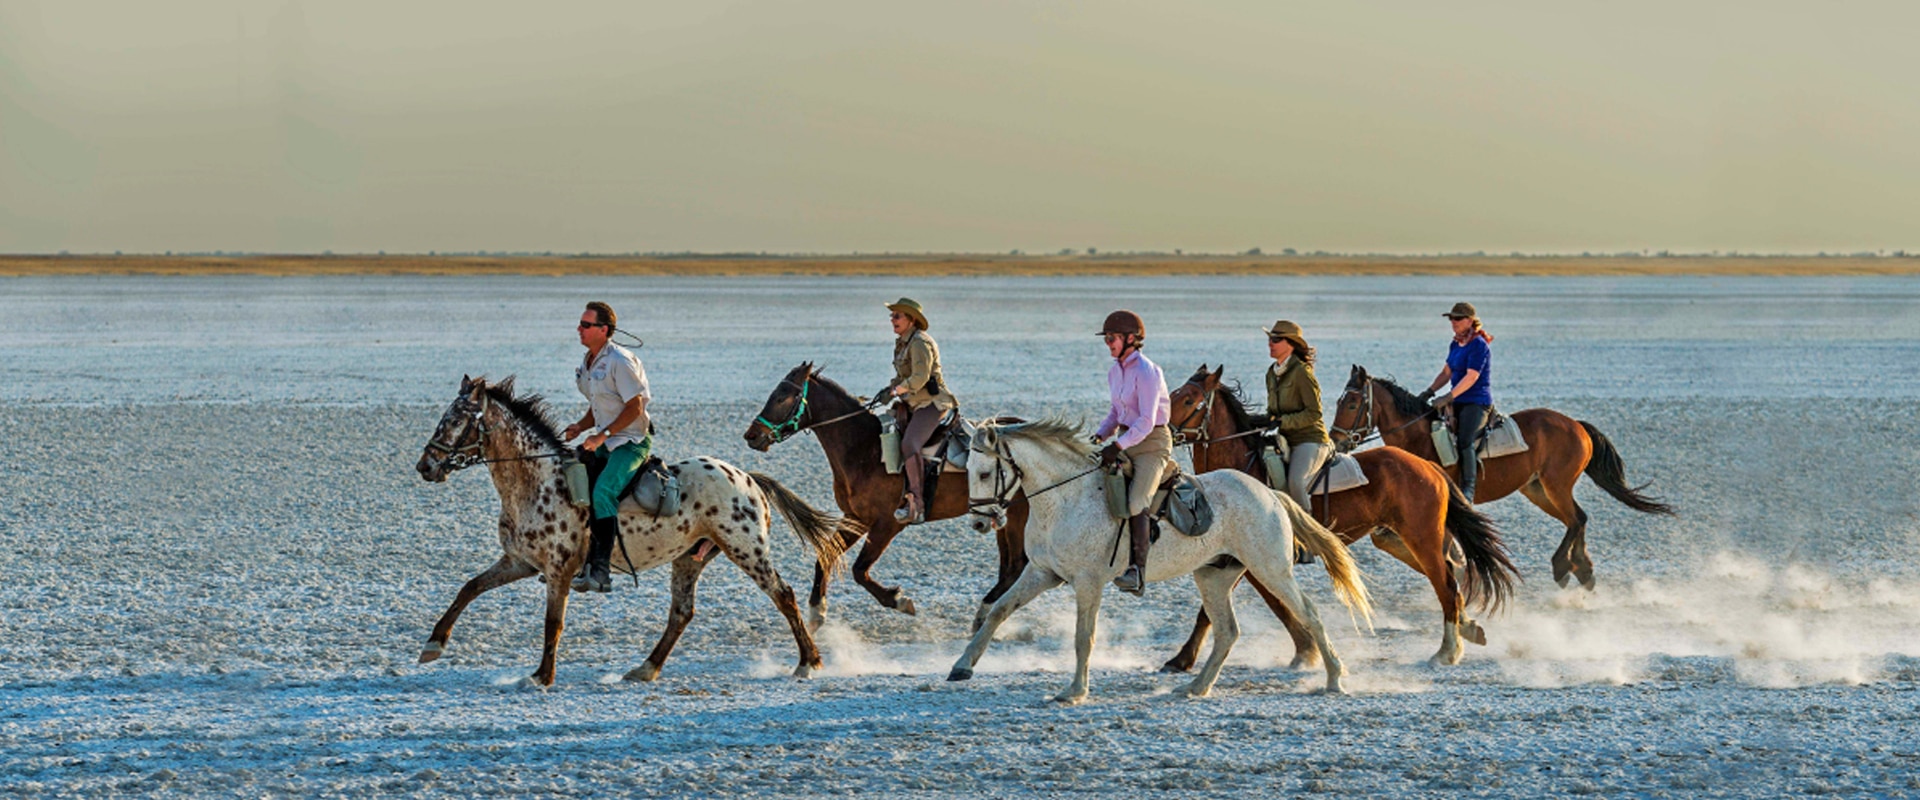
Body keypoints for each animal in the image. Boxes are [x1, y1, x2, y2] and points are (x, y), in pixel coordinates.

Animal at [416, 376, 860, 686]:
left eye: (455, 421)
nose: (425, 465)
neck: (536, 481)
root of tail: (747, 478)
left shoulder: (559, 570)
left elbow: (552, 622)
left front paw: (541, 676)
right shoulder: (519, 561)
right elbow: (470, 588)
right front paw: (433, 645)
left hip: (746, 549)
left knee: (783, 595)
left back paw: (808, 663)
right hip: (690, 557)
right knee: (681, 613)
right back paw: (645, 669)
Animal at [744, 360, 1036, 629]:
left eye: (783, 396)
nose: (752, 435)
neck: (865, 448)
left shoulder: (888, 524)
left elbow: (859, 570)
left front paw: (899, 600)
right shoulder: (855, 517)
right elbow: (826, 555)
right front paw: (817, 611)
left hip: (1017, 515)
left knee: (1016, 564)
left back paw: (983, 614)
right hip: (998, 515)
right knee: (1009, 568)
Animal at [1152, 366, 1512, 667]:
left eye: (1189, 399)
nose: (1163, 429)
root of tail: (1428, 466)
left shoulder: (1249, 560)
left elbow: (1252, 607)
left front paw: (1183, 659)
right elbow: (1262, 606)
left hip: (1421, 537)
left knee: (1446, 583)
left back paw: (1447, 651)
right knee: (1449, 572)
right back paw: (1467, 628)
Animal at [1328, 364, 1674, 590]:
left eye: (1353, 403)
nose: (1336, 439)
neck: (1419, 437)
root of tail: (1575, 424)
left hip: (1555, 485)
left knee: (1578, 518)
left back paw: (1564, 566)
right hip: (1537, 489)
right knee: (1577, 519)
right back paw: (1583, 569)